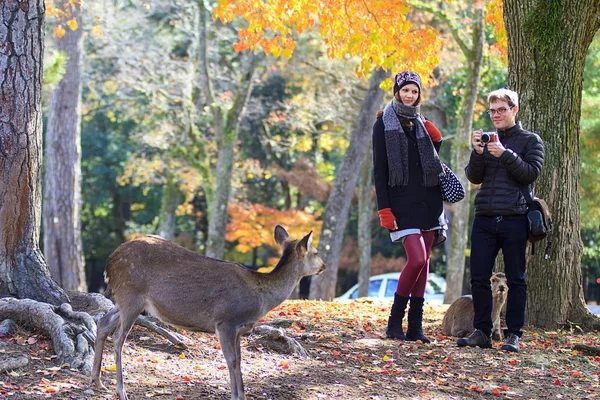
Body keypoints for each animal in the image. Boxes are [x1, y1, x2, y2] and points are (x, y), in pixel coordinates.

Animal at [91, 225, 326, 400]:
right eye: (315, 252)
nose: (323, 265)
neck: (261, 299)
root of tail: (109, 262)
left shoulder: (239, 329)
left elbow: (239, 360)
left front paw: (241, 394)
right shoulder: (225, 321)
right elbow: (231, 361)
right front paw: (235, 396)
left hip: (125, 299)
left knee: (103, 322)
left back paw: (97, 381)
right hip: (131, 293)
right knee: (119, 337)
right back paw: (121, 391)